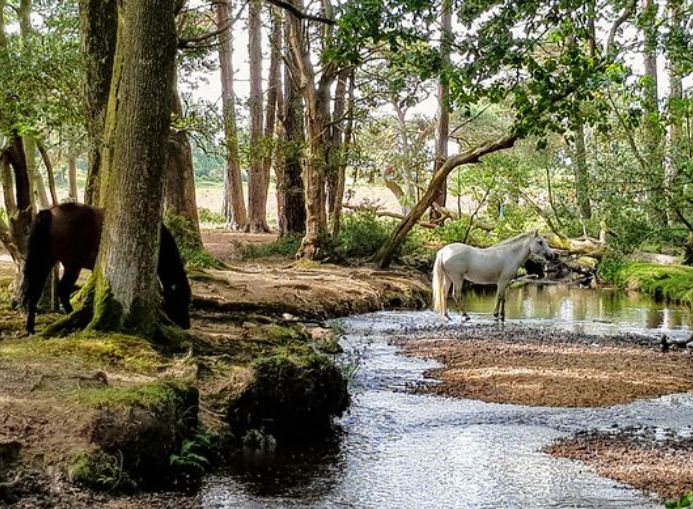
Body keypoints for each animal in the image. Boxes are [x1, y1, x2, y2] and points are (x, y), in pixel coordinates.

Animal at [19, 202, 191, 334]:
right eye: (180, 298)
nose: (186, 325)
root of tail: (50, 212)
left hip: (45, 260)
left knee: (35, 291)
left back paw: (31, 328)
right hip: (71, 264)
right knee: (62, 289)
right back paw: (71, 316)